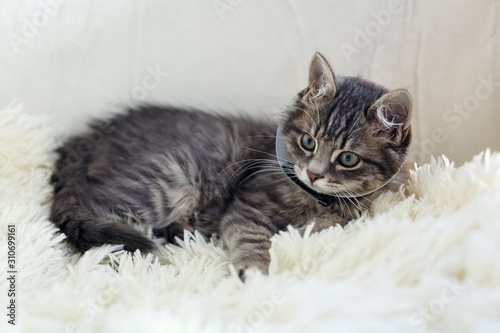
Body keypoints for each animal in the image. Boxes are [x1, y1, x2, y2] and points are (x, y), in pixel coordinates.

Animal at [49, 52, 414, 274]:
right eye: (308, 142)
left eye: (348, 159)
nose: (313, 173)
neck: (315, 199)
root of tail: (87, 140)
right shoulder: (247, 202)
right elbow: (251, 238)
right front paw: (254, 272)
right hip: (166, 182)